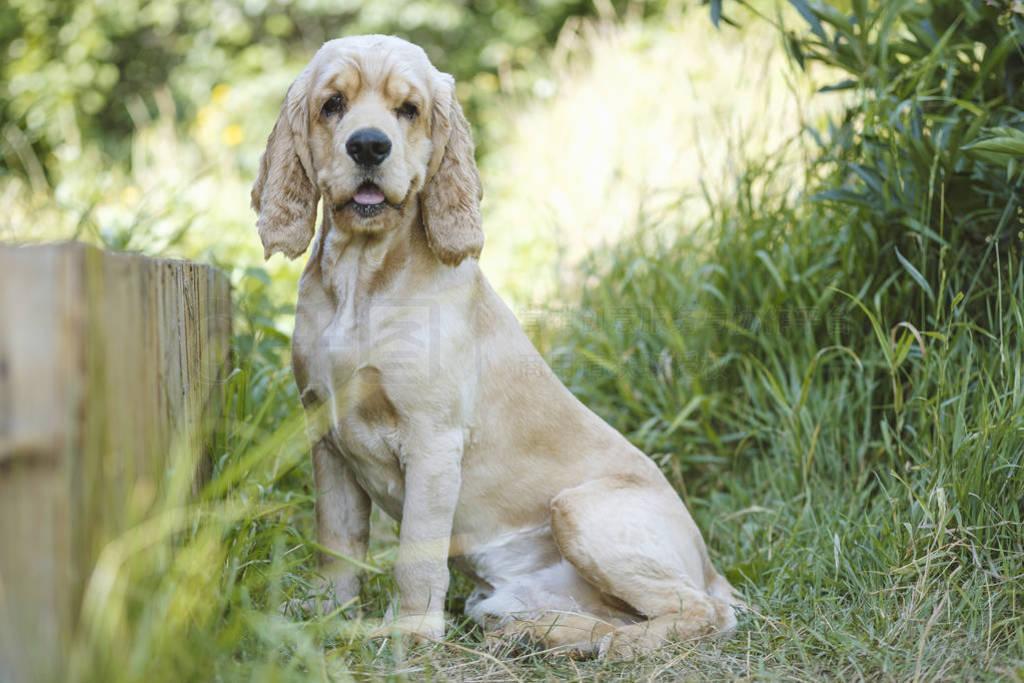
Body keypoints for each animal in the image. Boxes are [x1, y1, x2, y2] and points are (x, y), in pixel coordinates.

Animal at [251, 34, 741, 659]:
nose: (368, 145)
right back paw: (545, 634)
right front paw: (324, 618)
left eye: (409, 110)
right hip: (503, 596)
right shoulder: (327, 437)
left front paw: (410, 634)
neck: (362, 280)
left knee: (698, 613)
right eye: (332, 104)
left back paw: (615, 646)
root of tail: (711, 568)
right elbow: (337, 543)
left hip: (580, 510)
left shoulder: (433, 441)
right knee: (609, 615)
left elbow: (415, 555)